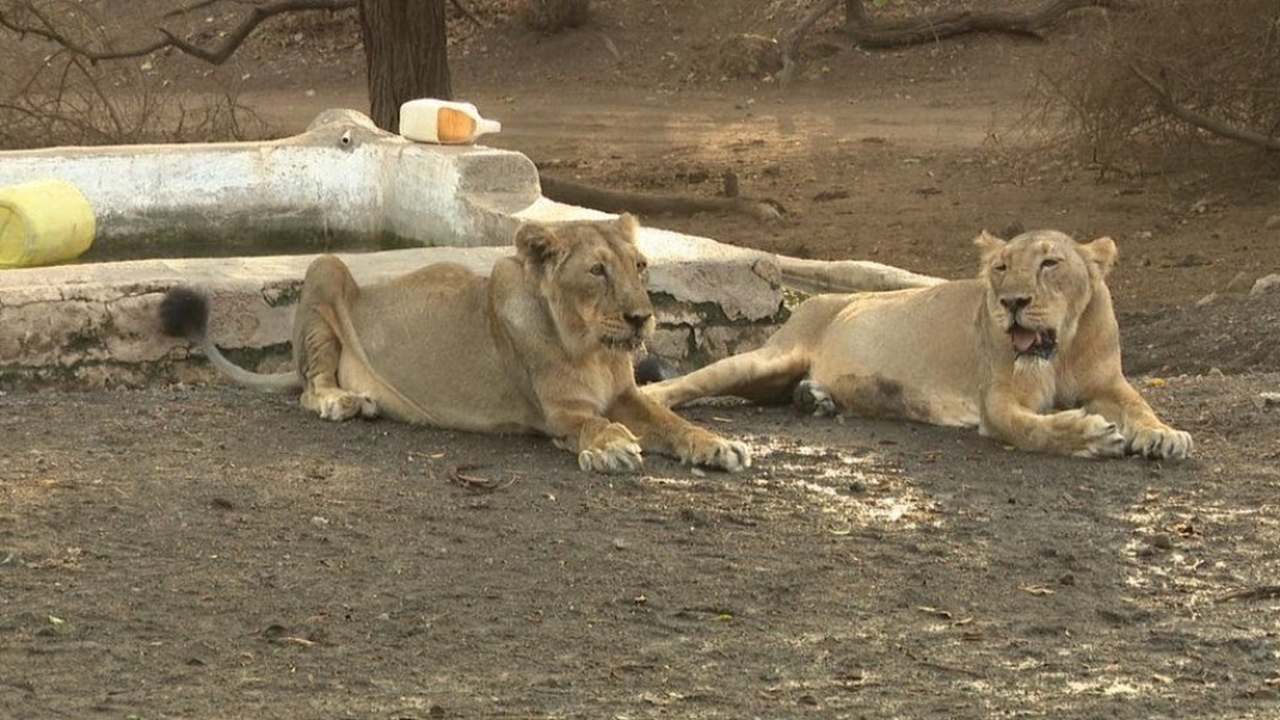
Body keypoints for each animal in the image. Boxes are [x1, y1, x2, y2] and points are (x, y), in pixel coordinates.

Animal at [163, 212, 752, 471]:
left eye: (640, 266)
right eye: (597, 271)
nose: (642, 318)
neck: (589, 347)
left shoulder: (627, 394)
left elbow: (670, 421)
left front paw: (715, 443)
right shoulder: (558, 413)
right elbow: (591, 424)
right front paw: (610, 447)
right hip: (326, 268)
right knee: (311, 386)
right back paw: (345, 400)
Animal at [645, 226, 1192, 456]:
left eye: (1049, 263)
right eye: (1000, 267)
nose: (1012, 302)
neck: (1061, 350)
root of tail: (812, 302)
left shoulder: (1109, 382)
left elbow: (1141, 406)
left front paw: (1163, 435)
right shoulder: (997, 401)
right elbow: (1030, 429)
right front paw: (1091, 435)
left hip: (775, 376)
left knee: (784, 392)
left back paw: (814, 397)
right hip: (764, 359)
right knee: (677, 387)